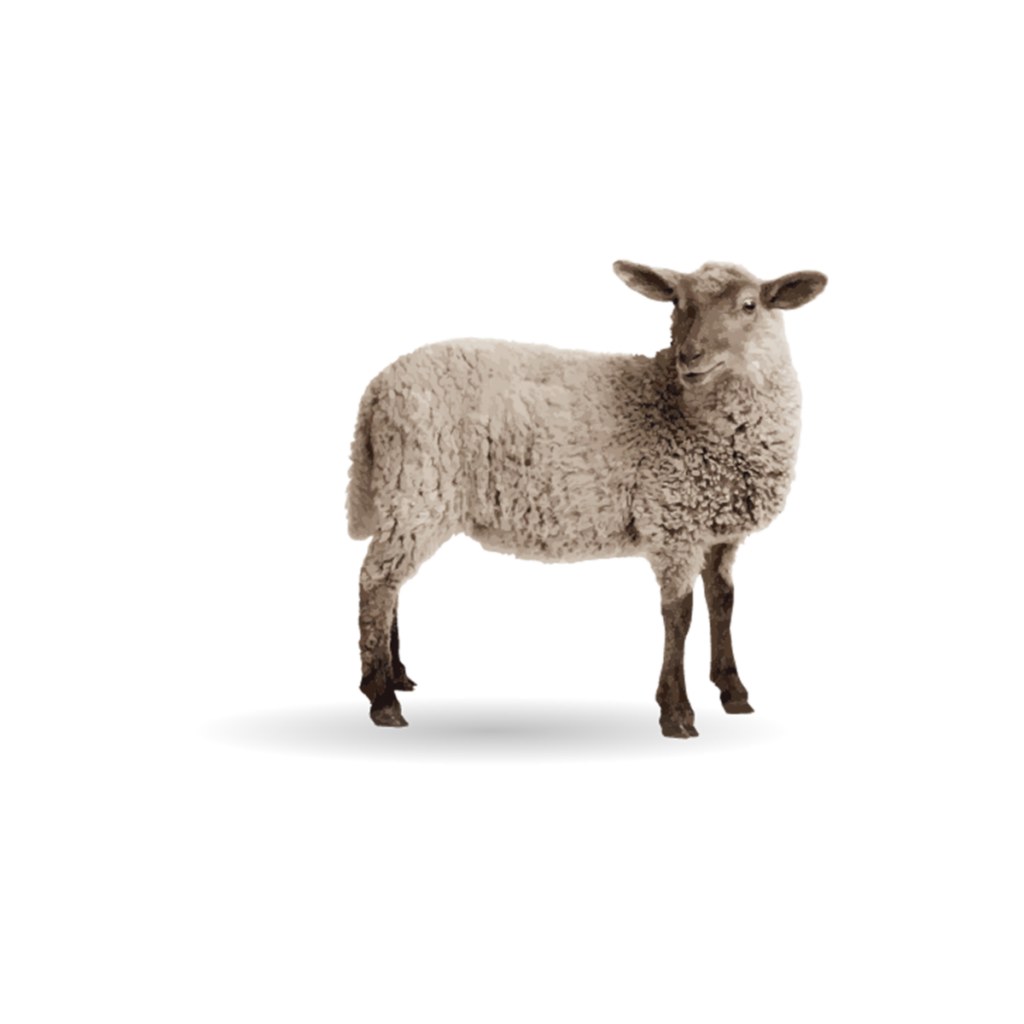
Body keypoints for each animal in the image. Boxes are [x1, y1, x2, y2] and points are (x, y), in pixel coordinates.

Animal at [346, 258, 828, 739]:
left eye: (749, 305)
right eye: (677, 303)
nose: (691, 356)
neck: (683, 406)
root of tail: (379, 386)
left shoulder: (721, 531)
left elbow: (723, 601)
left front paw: (734, 693)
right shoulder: (672, 521)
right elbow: (679, 613)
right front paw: (676, 712)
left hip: (406, 497)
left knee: (391, 585)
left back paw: (399, 678)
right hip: (418, 486)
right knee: (375, 583)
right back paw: (383, 700)